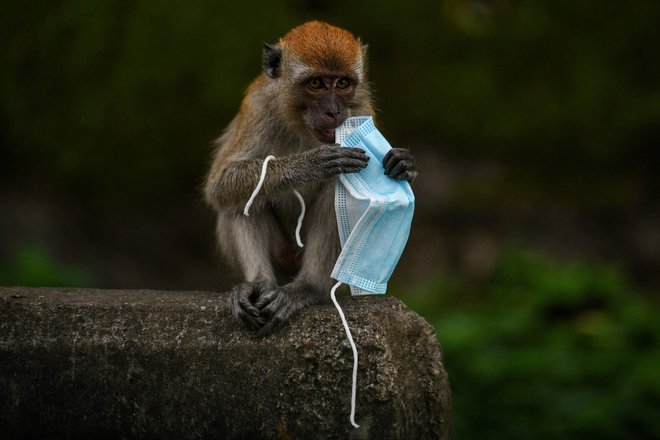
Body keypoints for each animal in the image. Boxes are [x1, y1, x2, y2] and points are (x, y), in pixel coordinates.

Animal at [204, 20, 416, 336]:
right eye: (316, 84)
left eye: (342, 84)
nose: (334, 111)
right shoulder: (258, 107)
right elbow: (221, 184)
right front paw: (310, 164)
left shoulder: (360, 109)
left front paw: (403, 164)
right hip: (282, 256)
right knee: (241, 198)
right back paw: (257, 284)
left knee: (335, 191)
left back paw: (309, 288)